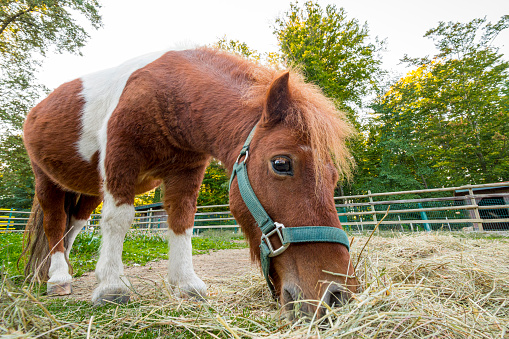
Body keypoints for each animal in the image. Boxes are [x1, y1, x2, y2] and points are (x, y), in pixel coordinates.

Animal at [22, 47, 358, 314]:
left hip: (88, 189)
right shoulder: (121, 161)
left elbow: (182, 222)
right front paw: (112, 286)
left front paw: (186, 284)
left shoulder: (185, 171)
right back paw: (58, 278)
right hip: (47, 181)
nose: (338, 295)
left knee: (74, 226)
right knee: (55, 225)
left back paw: (63, 269)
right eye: (281, 163)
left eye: (333, 176)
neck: (168, 95)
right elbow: (118, 220)